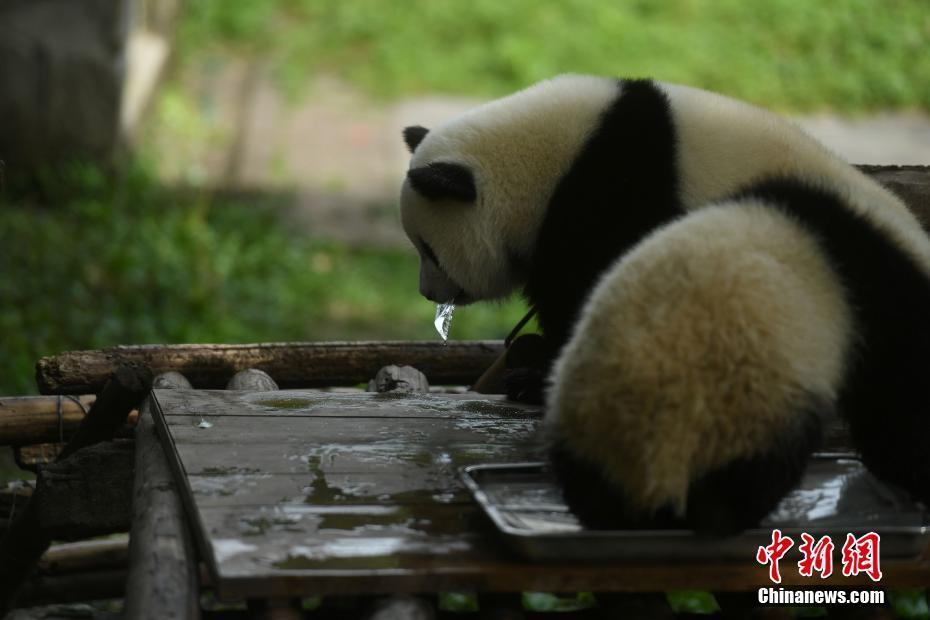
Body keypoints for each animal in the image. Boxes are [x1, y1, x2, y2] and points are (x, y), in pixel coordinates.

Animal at [396, 75, 928, 536]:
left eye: (428, 248)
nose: (426, 293)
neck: (551, 154)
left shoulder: (616, 188)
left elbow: (587, 283)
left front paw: (536, 376)